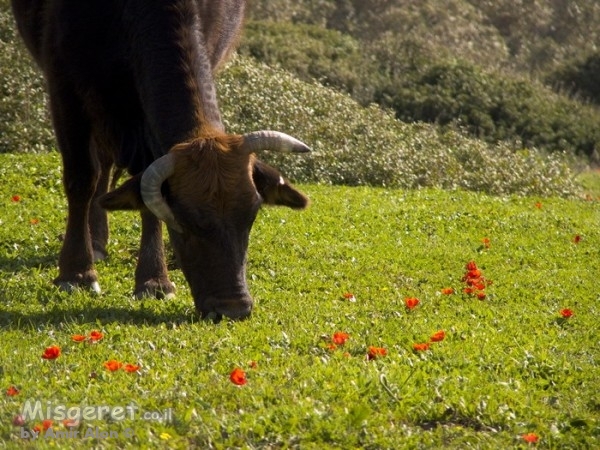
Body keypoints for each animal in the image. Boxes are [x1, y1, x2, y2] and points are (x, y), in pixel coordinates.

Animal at [10, 0, 310, 324]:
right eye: (185, 222)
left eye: (251, 215)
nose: (233, 308)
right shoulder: (65, 87)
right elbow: (81, 180)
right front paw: (76, 274)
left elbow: (147, 200)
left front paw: (154, 281)